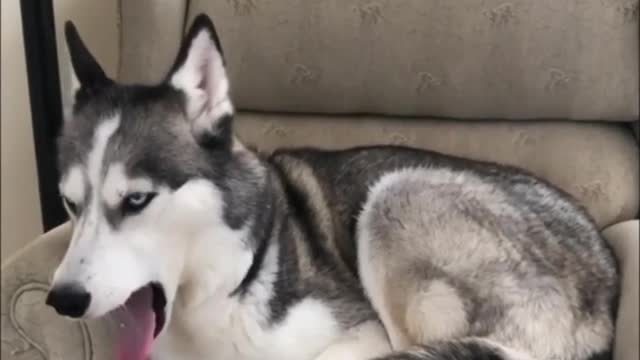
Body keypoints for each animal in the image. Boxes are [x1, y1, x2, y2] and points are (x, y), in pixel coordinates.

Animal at [47, 12, 616, 360]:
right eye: (70, 204)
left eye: (136, 199)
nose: (62, 301)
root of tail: (606, 276)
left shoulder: (364, 335)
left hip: (396, 198)